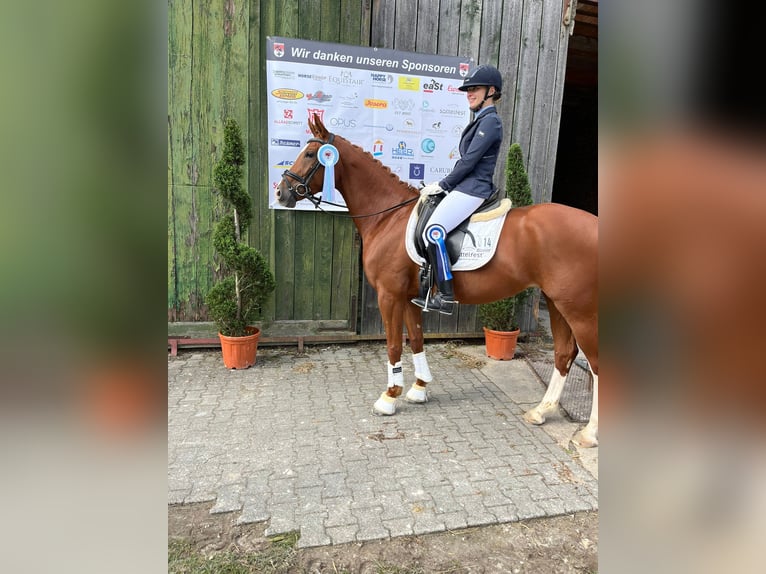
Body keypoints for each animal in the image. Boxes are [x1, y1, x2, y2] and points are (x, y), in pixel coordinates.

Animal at [276, 115, 600, 450]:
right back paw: (541, 411)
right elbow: (417, 340)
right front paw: (419, 389)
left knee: (596, 363)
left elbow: (393, 344)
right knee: (564, 353)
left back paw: (589, 433)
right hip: (556, 302)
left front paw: (389, 397)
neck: (389, 218)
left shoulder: (389, 295)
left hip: (579, 310)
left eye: (311, 154)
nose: (281, 193)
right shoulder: (409, 297)